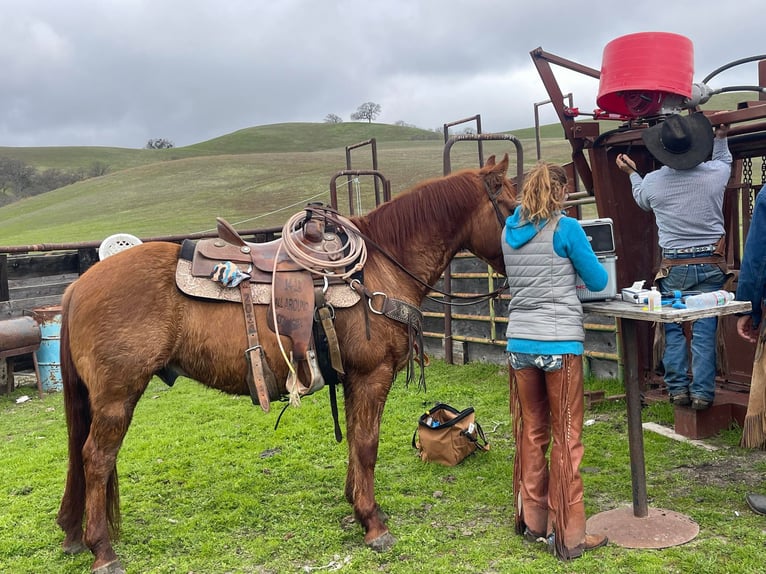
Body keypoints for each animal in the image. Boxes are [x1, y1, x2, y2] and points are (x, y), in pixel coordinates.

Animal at [57, 154, 520, 574]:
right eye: (512, 207)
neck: (379, 268)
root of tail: (78, 287)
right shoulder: (372, 376)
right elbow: (367, 445)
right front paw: (373, 523)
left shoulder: (350, 379)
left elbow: (354, 441)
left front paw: (357, 505)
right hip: (117, 397)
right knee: (96, 459)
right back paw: (103, 551)